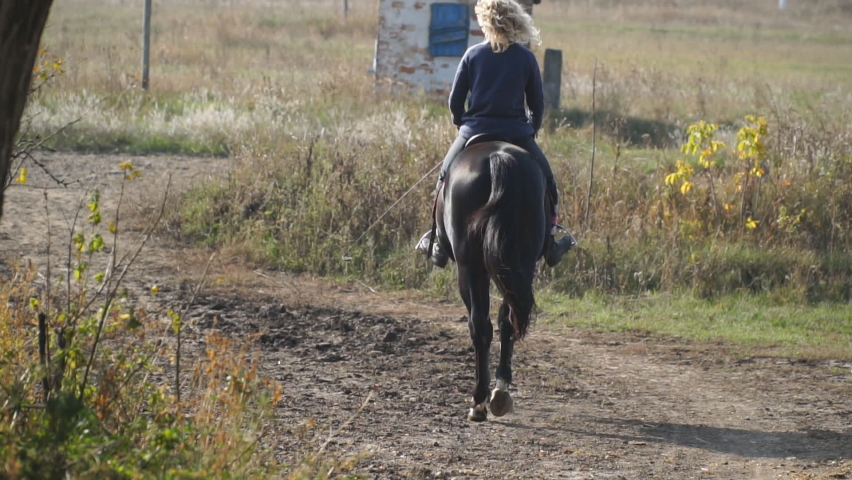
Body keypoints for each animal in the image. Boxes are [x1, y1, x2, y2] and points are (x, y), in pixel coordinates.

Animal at [433, 136, 547, 422]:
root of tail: (499, 158)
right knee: (509, 320)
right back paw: (500, 393)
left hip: (470, 268)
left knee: (480, 326)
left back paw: (479, 401)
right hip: (520, 264)